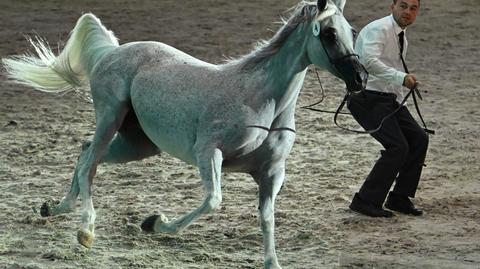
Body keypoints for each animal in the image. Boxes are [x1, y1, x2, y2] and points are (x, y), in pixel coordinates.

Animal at [1, 1, 366, 266]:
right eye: (329, 34)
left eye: (351, 30)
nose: (360, 79)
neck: (261, 99)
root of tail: (112, 51)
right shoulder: (209, 153)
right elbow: (213, 201)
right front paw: (155, 223)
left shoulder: (271, 172)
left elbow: (267, 218)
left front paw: (271, 262)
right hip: (109, 117)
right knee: (89, 161)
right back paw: (85, 229)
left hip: (137, 144)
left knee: (85, 151)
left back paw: (56, 208)